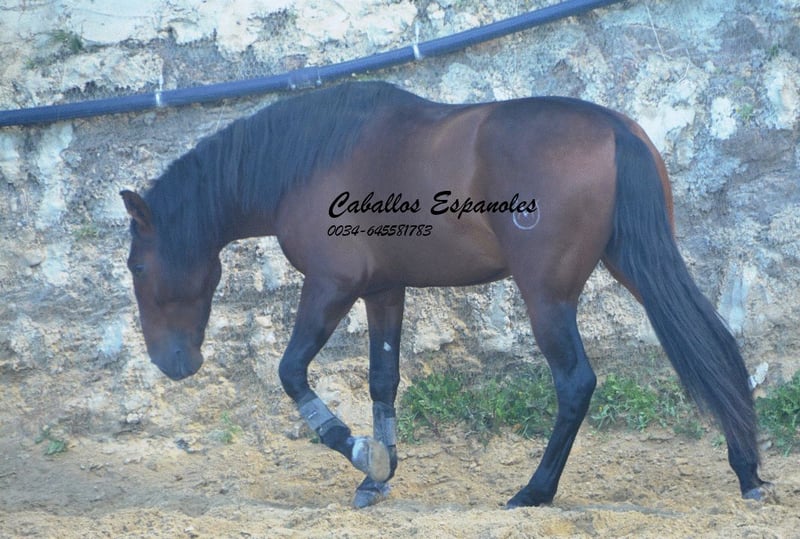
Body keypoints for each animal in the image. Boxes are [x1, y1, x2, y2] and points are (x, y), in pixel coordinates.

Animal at [121, 81, 771, 508]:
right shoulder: (383, 289)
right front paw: (377, 475)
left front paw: (359, 451)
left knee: (576, 383)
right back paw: (747, 471)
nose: (172, 364)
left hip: (548, 296)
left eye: (137, 264)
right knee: (714, 345)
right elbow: (382, 380)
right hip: (636, 263)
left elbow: (291, 372)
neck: (309, 158)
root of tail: (613, 129)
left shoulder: (331, 287)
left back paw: (535, 491)